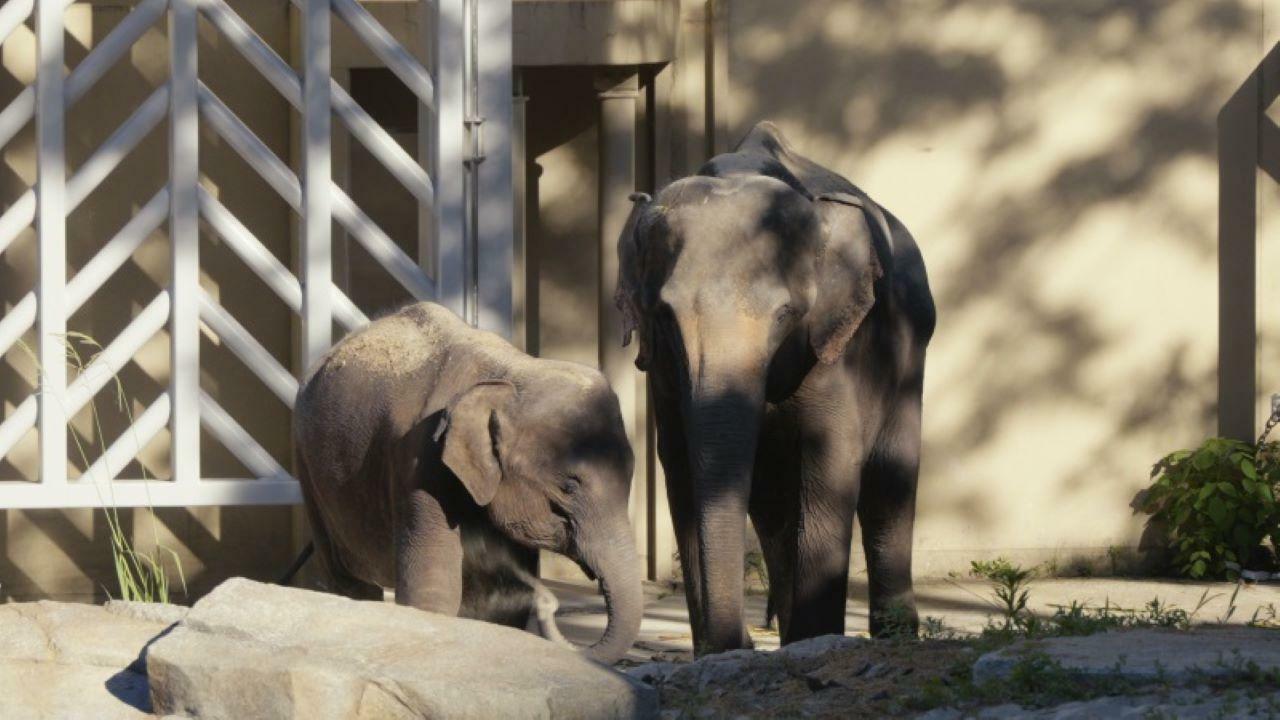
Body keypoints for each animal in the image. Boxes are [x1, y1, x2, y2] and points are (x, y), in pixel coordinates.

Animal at [294, 298, 645, 661]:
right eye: (569, 486)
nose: (549, 603)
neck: (511, 374)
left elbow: (497, 600)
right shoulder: (421, 462)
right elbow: (434, 593)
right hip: (308, 468)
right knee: (346, 580)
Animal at [614, 119, 936, 650]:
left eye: (786, 315)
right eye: (664, 316)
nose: (741, 640)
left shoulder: (835, 346)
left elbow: (828, 461)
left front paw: (812, 644)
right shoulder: (662, 370)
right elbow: (681, 467)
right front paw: (720, 655)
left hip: (912, 354)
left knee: (890, 483)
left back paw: (893, 637)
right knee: (771, 506)